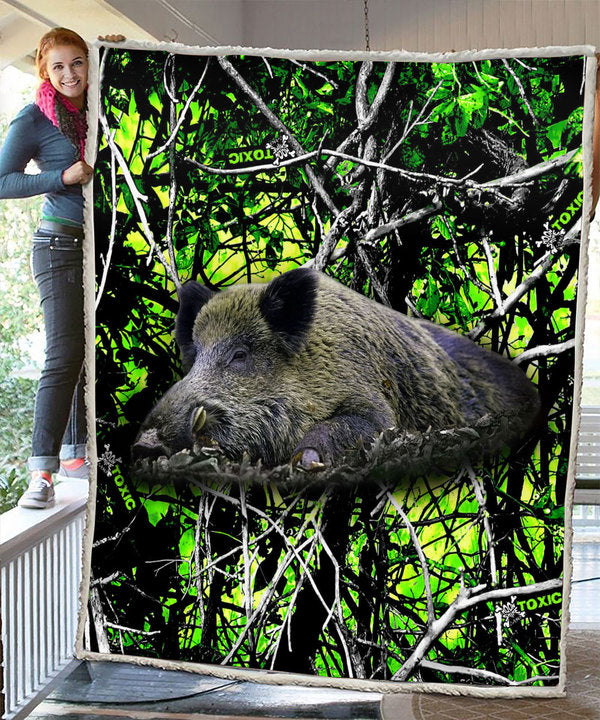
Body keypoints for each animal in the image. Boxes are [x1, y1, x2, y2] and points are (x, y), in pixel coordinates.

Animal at [131, 267, 539, 469]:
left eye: (240, 354)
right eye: (196, 355)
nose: (144, 442)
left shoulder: (376, 407)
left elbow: (350, 425)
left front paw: (305, 463)